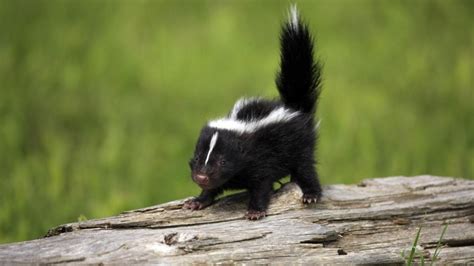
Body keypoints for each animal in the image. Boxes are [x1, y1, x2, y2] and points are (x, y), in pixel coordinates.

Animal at [182, 6, 322, 220]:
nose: (201, 176)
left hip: (299, 145)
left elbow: (261, 185)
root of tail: (293, 107)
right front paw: (198, 201)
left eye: (222, 161)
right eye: (198, 157)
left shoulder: (262, 160)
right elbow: (213, 188)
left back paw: (311, 194)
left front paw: (255, 211)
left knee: (306, 168)